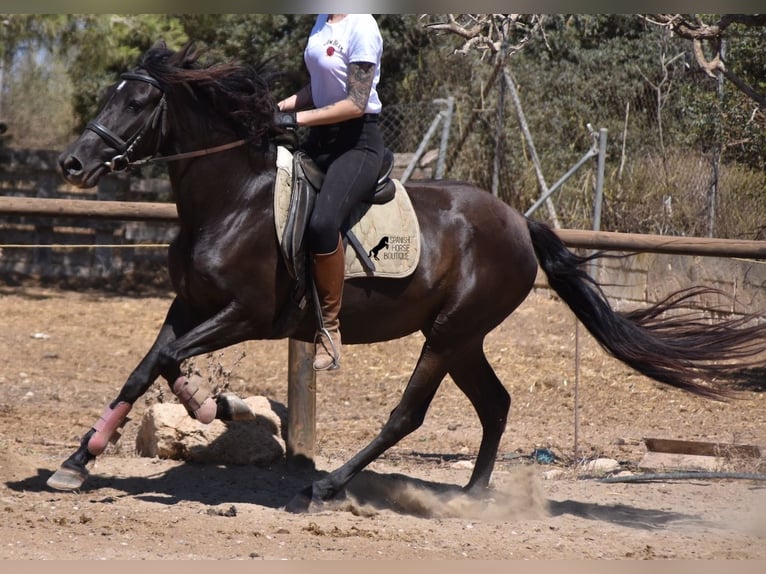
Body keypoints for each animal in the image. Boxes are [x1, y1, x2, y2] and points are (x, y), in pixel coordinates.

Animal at [52, 44, 766, 512]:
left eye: (139, 100)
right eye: (114, 93)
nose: (73, 162)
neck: (233, 199)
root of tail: (517, 219)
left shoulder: (247, 315)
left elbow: (169, 359)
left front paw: (211, 406)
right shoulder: (189, 303)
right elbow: (148, 366)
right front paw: (77, 461)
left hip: (448, 335)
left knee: (407, 414)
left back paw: (329, 485)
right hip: (463, 337)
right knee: (495, 403)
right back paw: (472, 496)